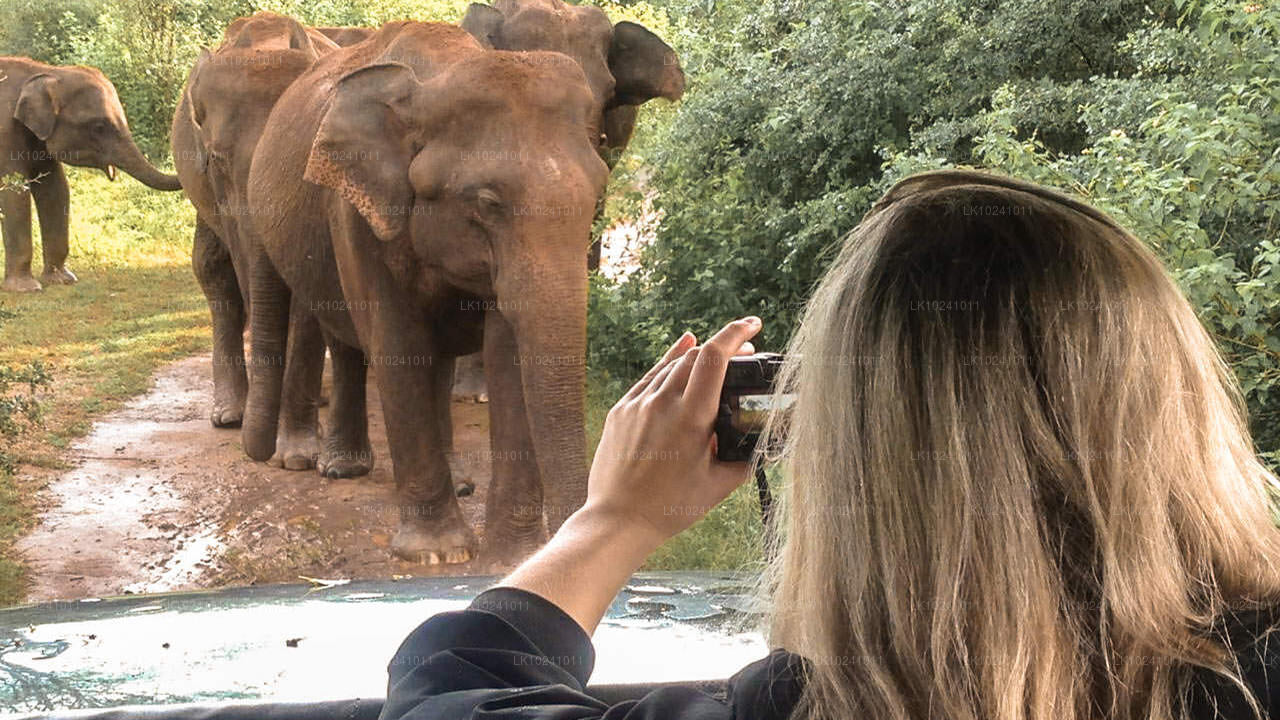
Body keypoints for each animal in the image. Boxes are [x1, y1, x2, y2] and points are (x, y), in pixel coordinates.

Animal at [0, 55, 185, 292]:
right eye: (99, 127)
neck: (47, 72)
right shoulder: (6, 134)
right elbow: (15, 193)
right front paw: (27, 288)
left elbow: (55, 190)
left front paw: (63, 280)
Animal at [247, 19, 611, 563]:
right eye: (487, 202)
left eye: (597, 195)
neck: (437, 77)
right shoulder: (355, 209)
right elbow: (399, 345)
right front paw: (437, 553)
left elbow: (507, 354)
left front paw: (511, 559)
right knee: (349, 340)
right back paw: (342, 469)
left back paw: (459, 482)